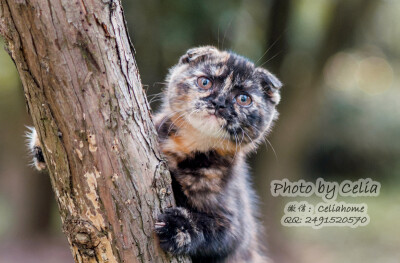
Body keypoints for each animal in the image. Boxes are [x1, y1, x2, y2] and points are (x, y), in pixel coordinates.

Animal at [27, 46, 282, 262]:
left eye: (243, 99)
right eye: (205, 82)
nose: (219, 103)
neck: (187, 145)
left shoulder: (236, 225)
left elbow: (217, 232)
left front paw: (179, 228)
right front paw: (41, 144)